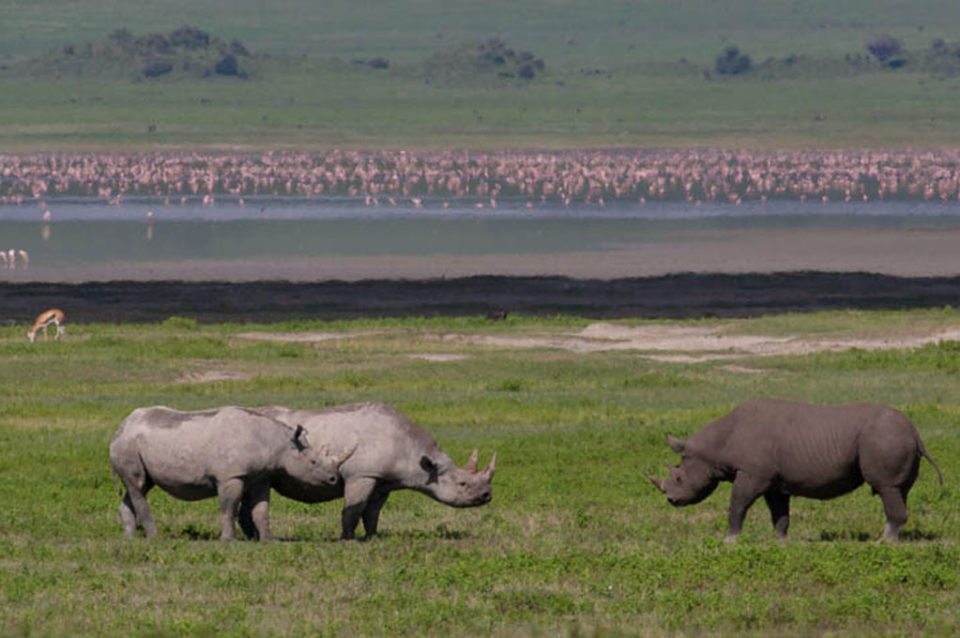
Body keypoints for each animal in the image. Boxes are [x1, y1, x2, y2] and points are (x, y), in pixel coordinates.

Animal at [110, 406, 355, 540]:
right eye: (313, 462)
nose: (334, 478)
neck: (279, 442)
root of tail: (121, 427)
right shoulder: (230, 476)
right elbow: (229, 506)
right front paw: (229, 540)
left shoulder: (261, 477)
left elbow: (261, 509)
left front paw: (268, 540)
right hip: (128, 445)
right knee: (138, 486)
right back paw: (154, 537)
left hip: (133, 443)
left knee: (139, 487)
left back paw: (130, 538)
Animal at [245, 402, 496, 540]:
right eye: (462, 484)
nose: (487, 495)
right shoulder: (362, 475)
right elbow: (353, 509)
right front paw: (347, 539)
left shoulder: (383, 481)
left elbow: (373, 512)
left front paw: (372, 537)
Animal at [648, 398, 943, 542]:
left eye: (678, 477)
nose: (671, 500)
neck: (715, 446)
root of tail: (914, 431)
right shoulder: (773, 481)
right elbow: (779, 513)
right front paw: (781, 542)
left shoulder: (752, 474)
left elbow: (737, 505)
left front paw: (729, 540)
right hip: (894, 436)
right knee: (900, 490)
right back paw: (890, 538)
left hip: (884, 437)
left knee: (886, 487)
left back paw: (884, 542)